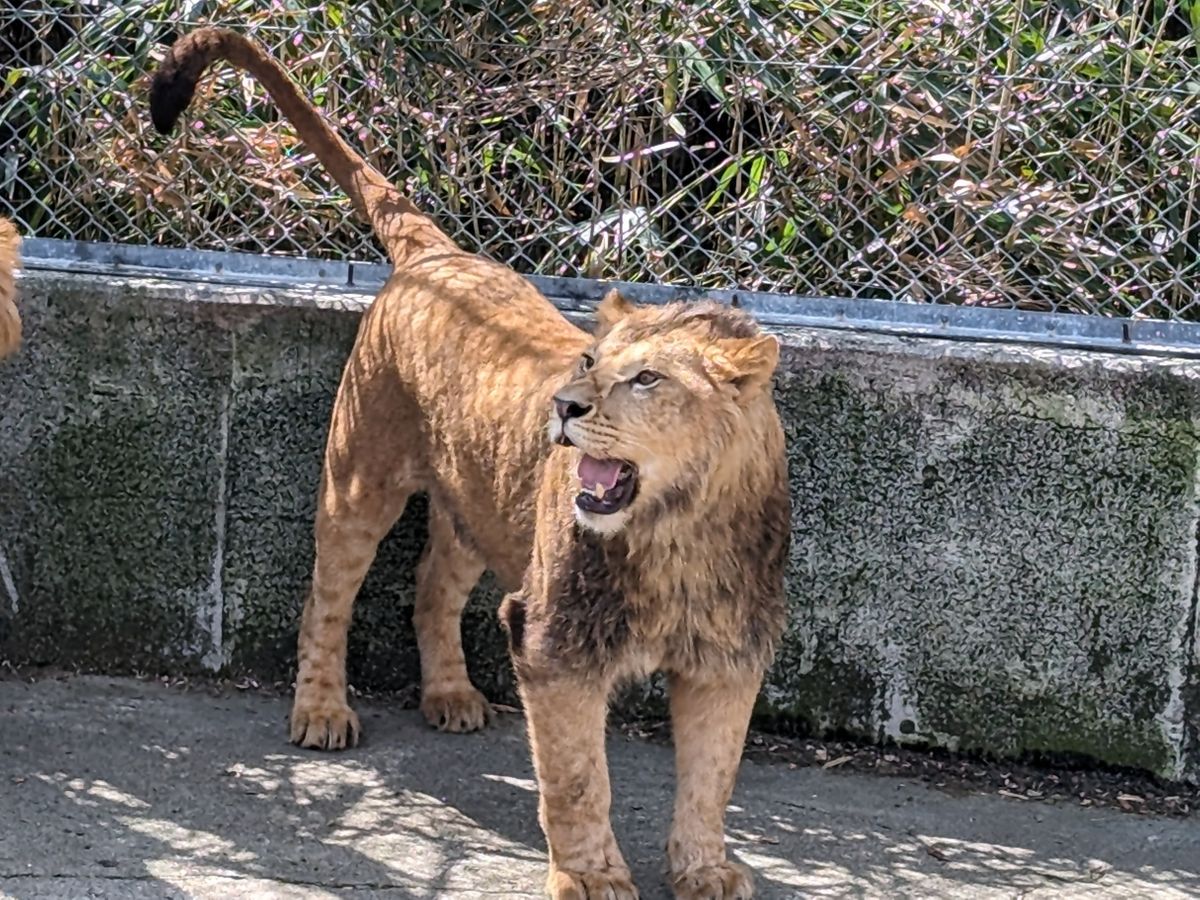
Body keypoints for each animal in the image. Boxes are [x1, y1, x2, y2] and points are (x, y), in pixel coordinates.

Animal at [150, 28, 787, 900]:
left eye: (647, 378)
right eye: (590, 360)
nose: (565, 406)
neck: (674, 529)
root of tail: (438, 256)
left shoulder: (727, 657)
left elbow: (710, 778)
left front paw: (705, 869)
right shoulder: (553, 644)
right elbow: (579, 779)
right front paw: (591, 877)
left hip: (476, 505)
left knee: (431, 589)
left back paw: (450, 694)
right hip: (360, 477)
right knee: (327, 596)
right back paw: (321, 712)